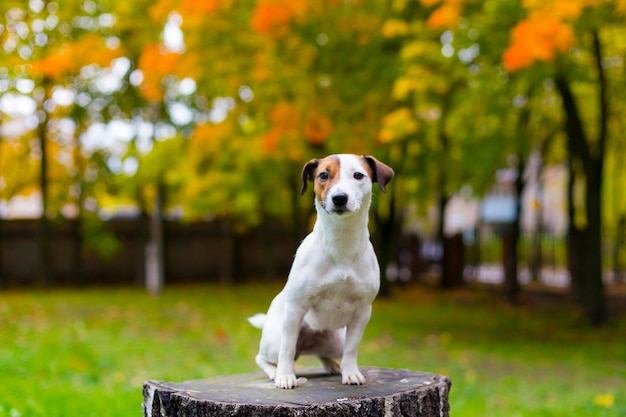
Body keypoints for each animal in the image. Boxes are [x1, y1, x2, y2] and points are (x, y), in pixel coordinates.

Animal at [246, 154, 392, 388]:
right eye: (323, 175)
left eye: (358, 175)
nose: (339, 198)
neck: (342, 243)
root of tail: (309, 344)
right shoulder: (295, 308)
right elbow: (287, 349)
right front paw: (285, 376)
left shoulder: (362, 311)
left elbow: (352, 349)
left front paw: (350, 372)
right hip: (276, 338)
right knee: (265, 356)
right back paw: (274, 372)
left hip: (336, 340)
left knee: (325, 354)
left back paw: (334, 366)